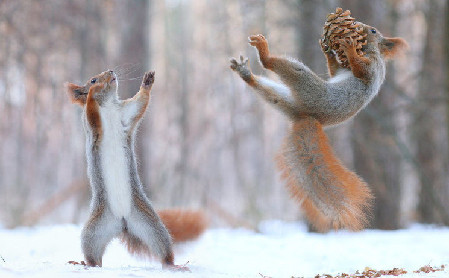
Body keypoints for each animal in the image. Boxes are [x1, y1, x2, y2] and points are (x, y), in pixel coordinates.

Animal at [65, 70, 206, 270]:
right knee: (94, 256)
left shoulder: (126, 114)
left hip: (151, 225)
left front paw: (147, 82)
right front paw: (92, 92)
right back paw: (85, 264)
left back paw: (173, 265)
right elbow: (92, 113)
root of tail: (122, 223)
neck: (108, 105)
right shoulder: (91, 125)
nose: (111, 72)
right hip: (93, 231)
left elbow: (140, 103)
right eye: (92, 79)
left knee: (163, 250)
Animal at [231, 10, 406, 231]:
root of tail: (307, 117)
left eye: (373, 30)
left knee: (276, 65)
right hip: (284, 99)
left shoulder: (372, 68)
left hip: (307, 85)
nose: (359, 25)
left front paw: (349, 48)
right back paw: (246, 73)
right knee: (268, 91)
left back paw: (264, 53)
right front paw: (328, 51)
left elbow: (360, 70)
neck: (369, 50)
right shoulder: (342, 70)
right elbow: (334, 70)